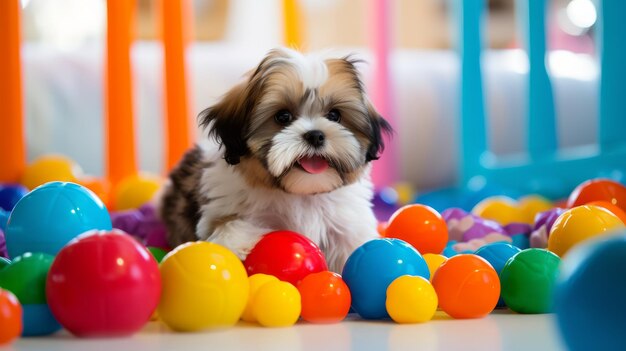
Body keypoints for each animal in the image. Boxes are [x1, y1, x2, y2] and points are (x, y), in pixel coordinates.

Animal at [157, 47, 390, 272]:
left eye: (334, 115)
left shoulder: (347, 227)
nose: (315, 135)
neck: (301, 194)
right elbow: (228, 225)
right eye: (283, 116)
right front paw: (236, 242)